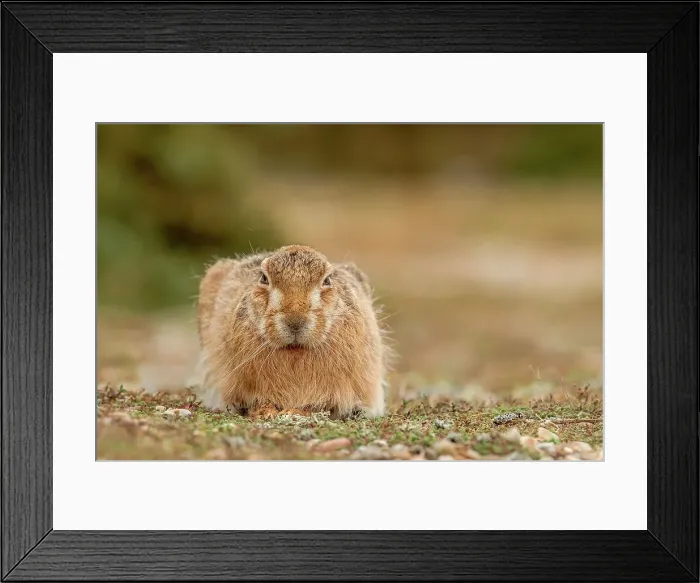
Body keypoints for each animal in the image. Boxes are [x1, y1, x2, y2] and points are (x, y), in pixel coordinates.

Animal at [195, 245, 389, 419]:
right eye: (264, 278)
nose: (295, 321)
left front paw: (294, 412)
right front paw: (266, 412)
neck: (295, 350)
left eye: (327, 280)